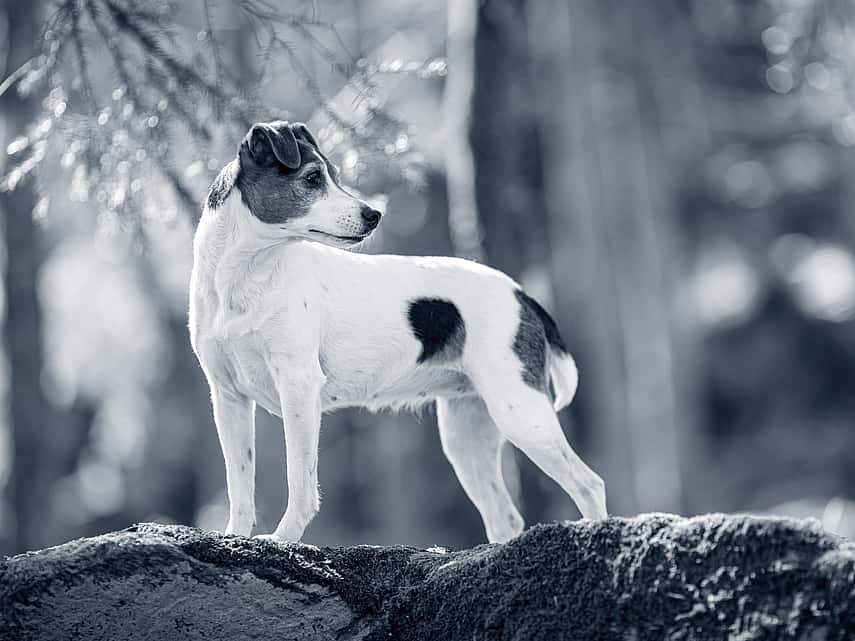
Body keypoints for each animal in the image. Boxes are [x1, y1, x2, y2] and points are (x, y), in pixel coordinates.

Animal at [192, 119, 608, 540]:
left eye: (334, 175)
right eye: (312, 178)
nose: (373, 214)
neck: (247, 277)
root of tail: (521, 294)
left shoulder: (299, 385)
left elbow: (301, 481)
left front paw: (284, 538)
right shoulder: (228, 399)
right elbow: (240, 485)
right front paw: (235, 536)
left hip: (522, 413)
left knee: (589, 484)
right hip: (467, 434)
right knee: (505, 516)